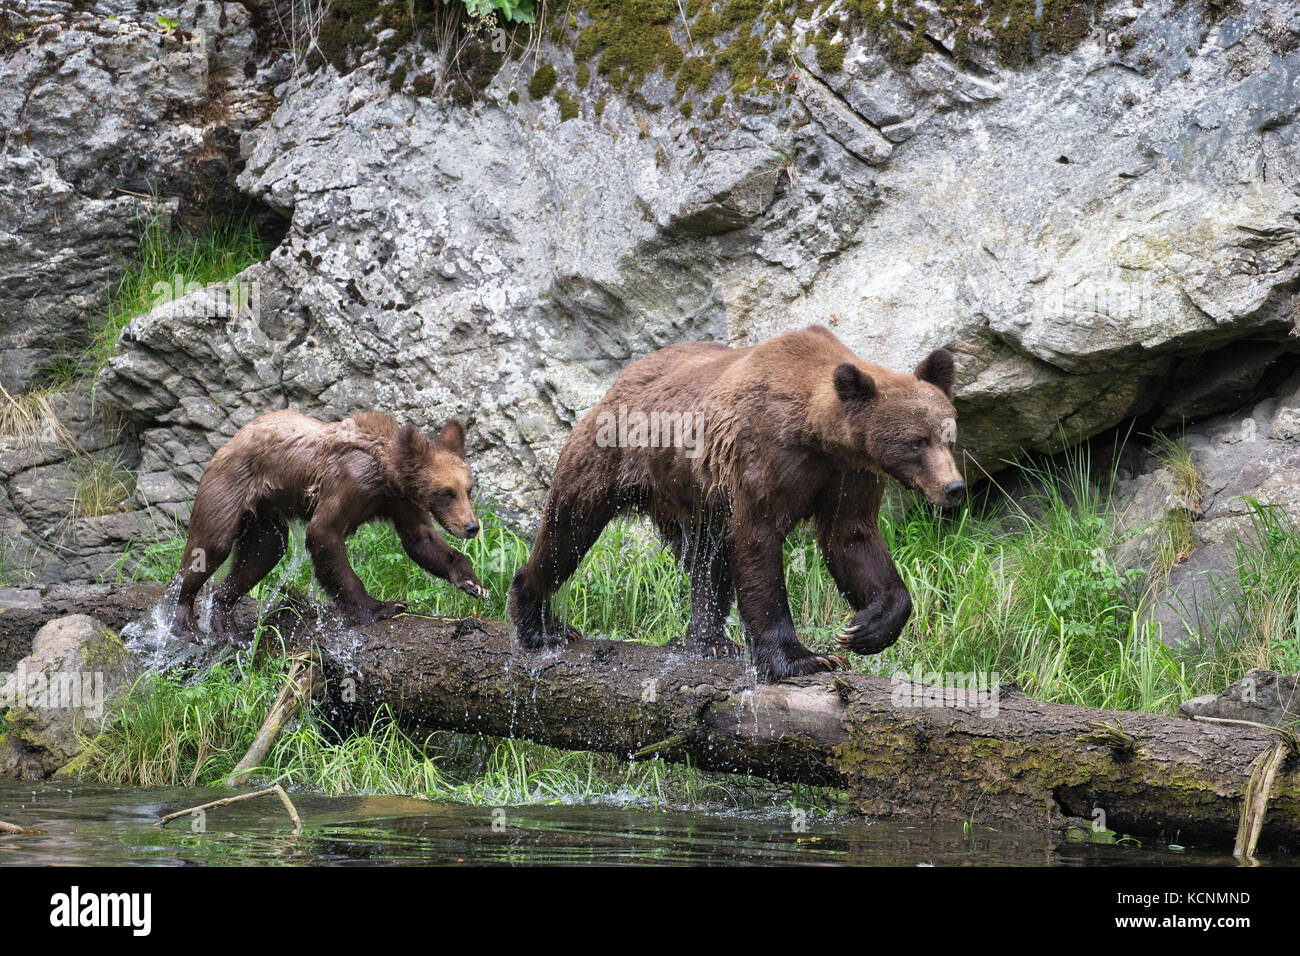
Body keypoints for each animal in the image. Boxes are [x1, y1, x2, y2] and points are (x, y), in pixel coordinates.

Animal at [172, 408, 488, 647]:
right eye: (446, 492)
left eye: (468, 489)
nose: (471, 526)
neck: (386, 476)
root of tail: (230, 441)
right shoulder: (349, 482)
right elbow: (325, 532)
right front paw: (381, 607)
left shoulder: (400, 502)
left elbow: (421, 540)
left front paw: (473, 583)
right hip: (229, 486)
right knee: (210, 546)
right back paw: (187, 624)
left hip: (263, 514)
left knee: (262, 553)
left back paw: (227, 625)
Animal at [506, 327, 967, 681]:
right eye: (916, 441)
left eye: (948, 434)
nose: (953, 487)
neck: (821, 436)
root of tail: (615, 384)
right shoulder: (766, 456)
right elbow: (759, 544)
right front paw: (803, 658)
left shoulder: (849, 475)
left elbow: (853, 539)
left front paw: (863, 629)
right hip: (611, 456)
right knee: (568, 530)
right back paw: (542, 625)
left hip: (697, 498)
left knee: (708, 563)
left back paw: (709, 641)